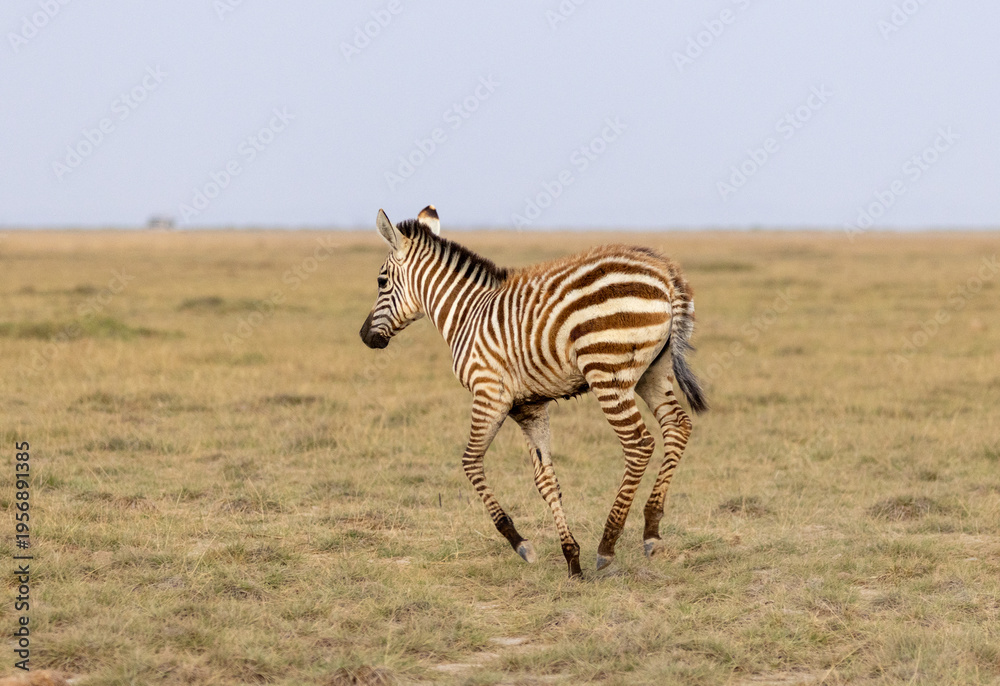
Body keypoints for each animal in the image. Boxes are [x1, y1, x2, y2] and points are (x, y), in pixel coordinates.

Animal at [360, 206, 707, 577]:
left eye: (381, 281)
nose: (365, 337)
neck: (467, 315)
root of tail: (667, 273)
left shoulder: (489, 394)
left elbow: (471, 462)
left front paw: (520, 542)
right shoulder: (529, 407)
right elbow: (546, 479)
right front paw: (571, 558)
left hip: (607, 373)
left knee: (639, 444)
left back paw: (608, 543)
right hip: (653, 373)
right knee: (678, 426)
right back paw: (652, 529)